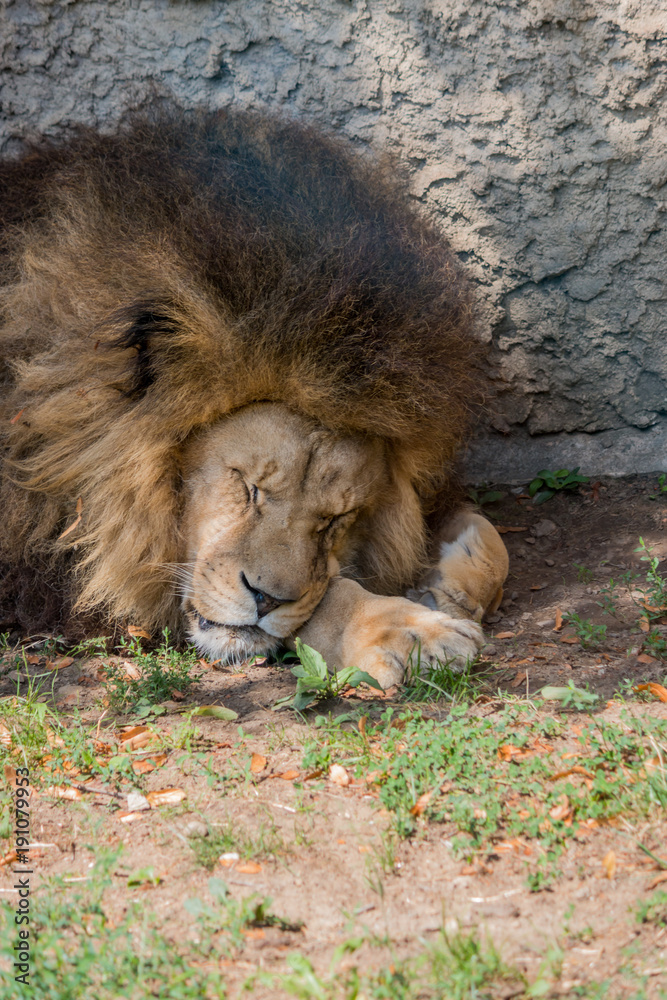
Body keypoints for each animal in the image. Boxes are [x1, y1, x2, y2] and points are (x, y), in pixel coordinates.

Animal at [0, 104, 508, 689]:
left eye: (335, 520)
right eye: (248, 488)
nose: (266, 599)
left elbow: (490, 540)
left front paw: (444, 587)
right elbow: (329, 594)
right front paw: (413, 630)